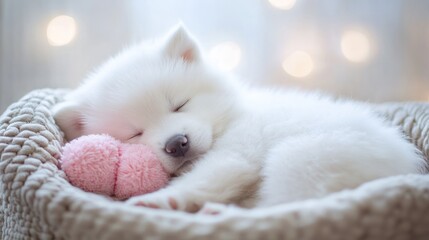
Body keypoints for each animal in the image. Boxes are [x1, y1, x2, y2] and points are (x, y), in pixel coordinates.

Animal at [53, 24, 424, 212]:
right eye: (135, 133)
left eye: (180, 105)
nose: (177, 143)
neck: (231, 119)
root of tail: (405, 165)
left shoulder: (235, 154)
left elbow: (208, 177)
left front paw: (157, 200)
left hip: (303, 157)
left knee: (290, 206)